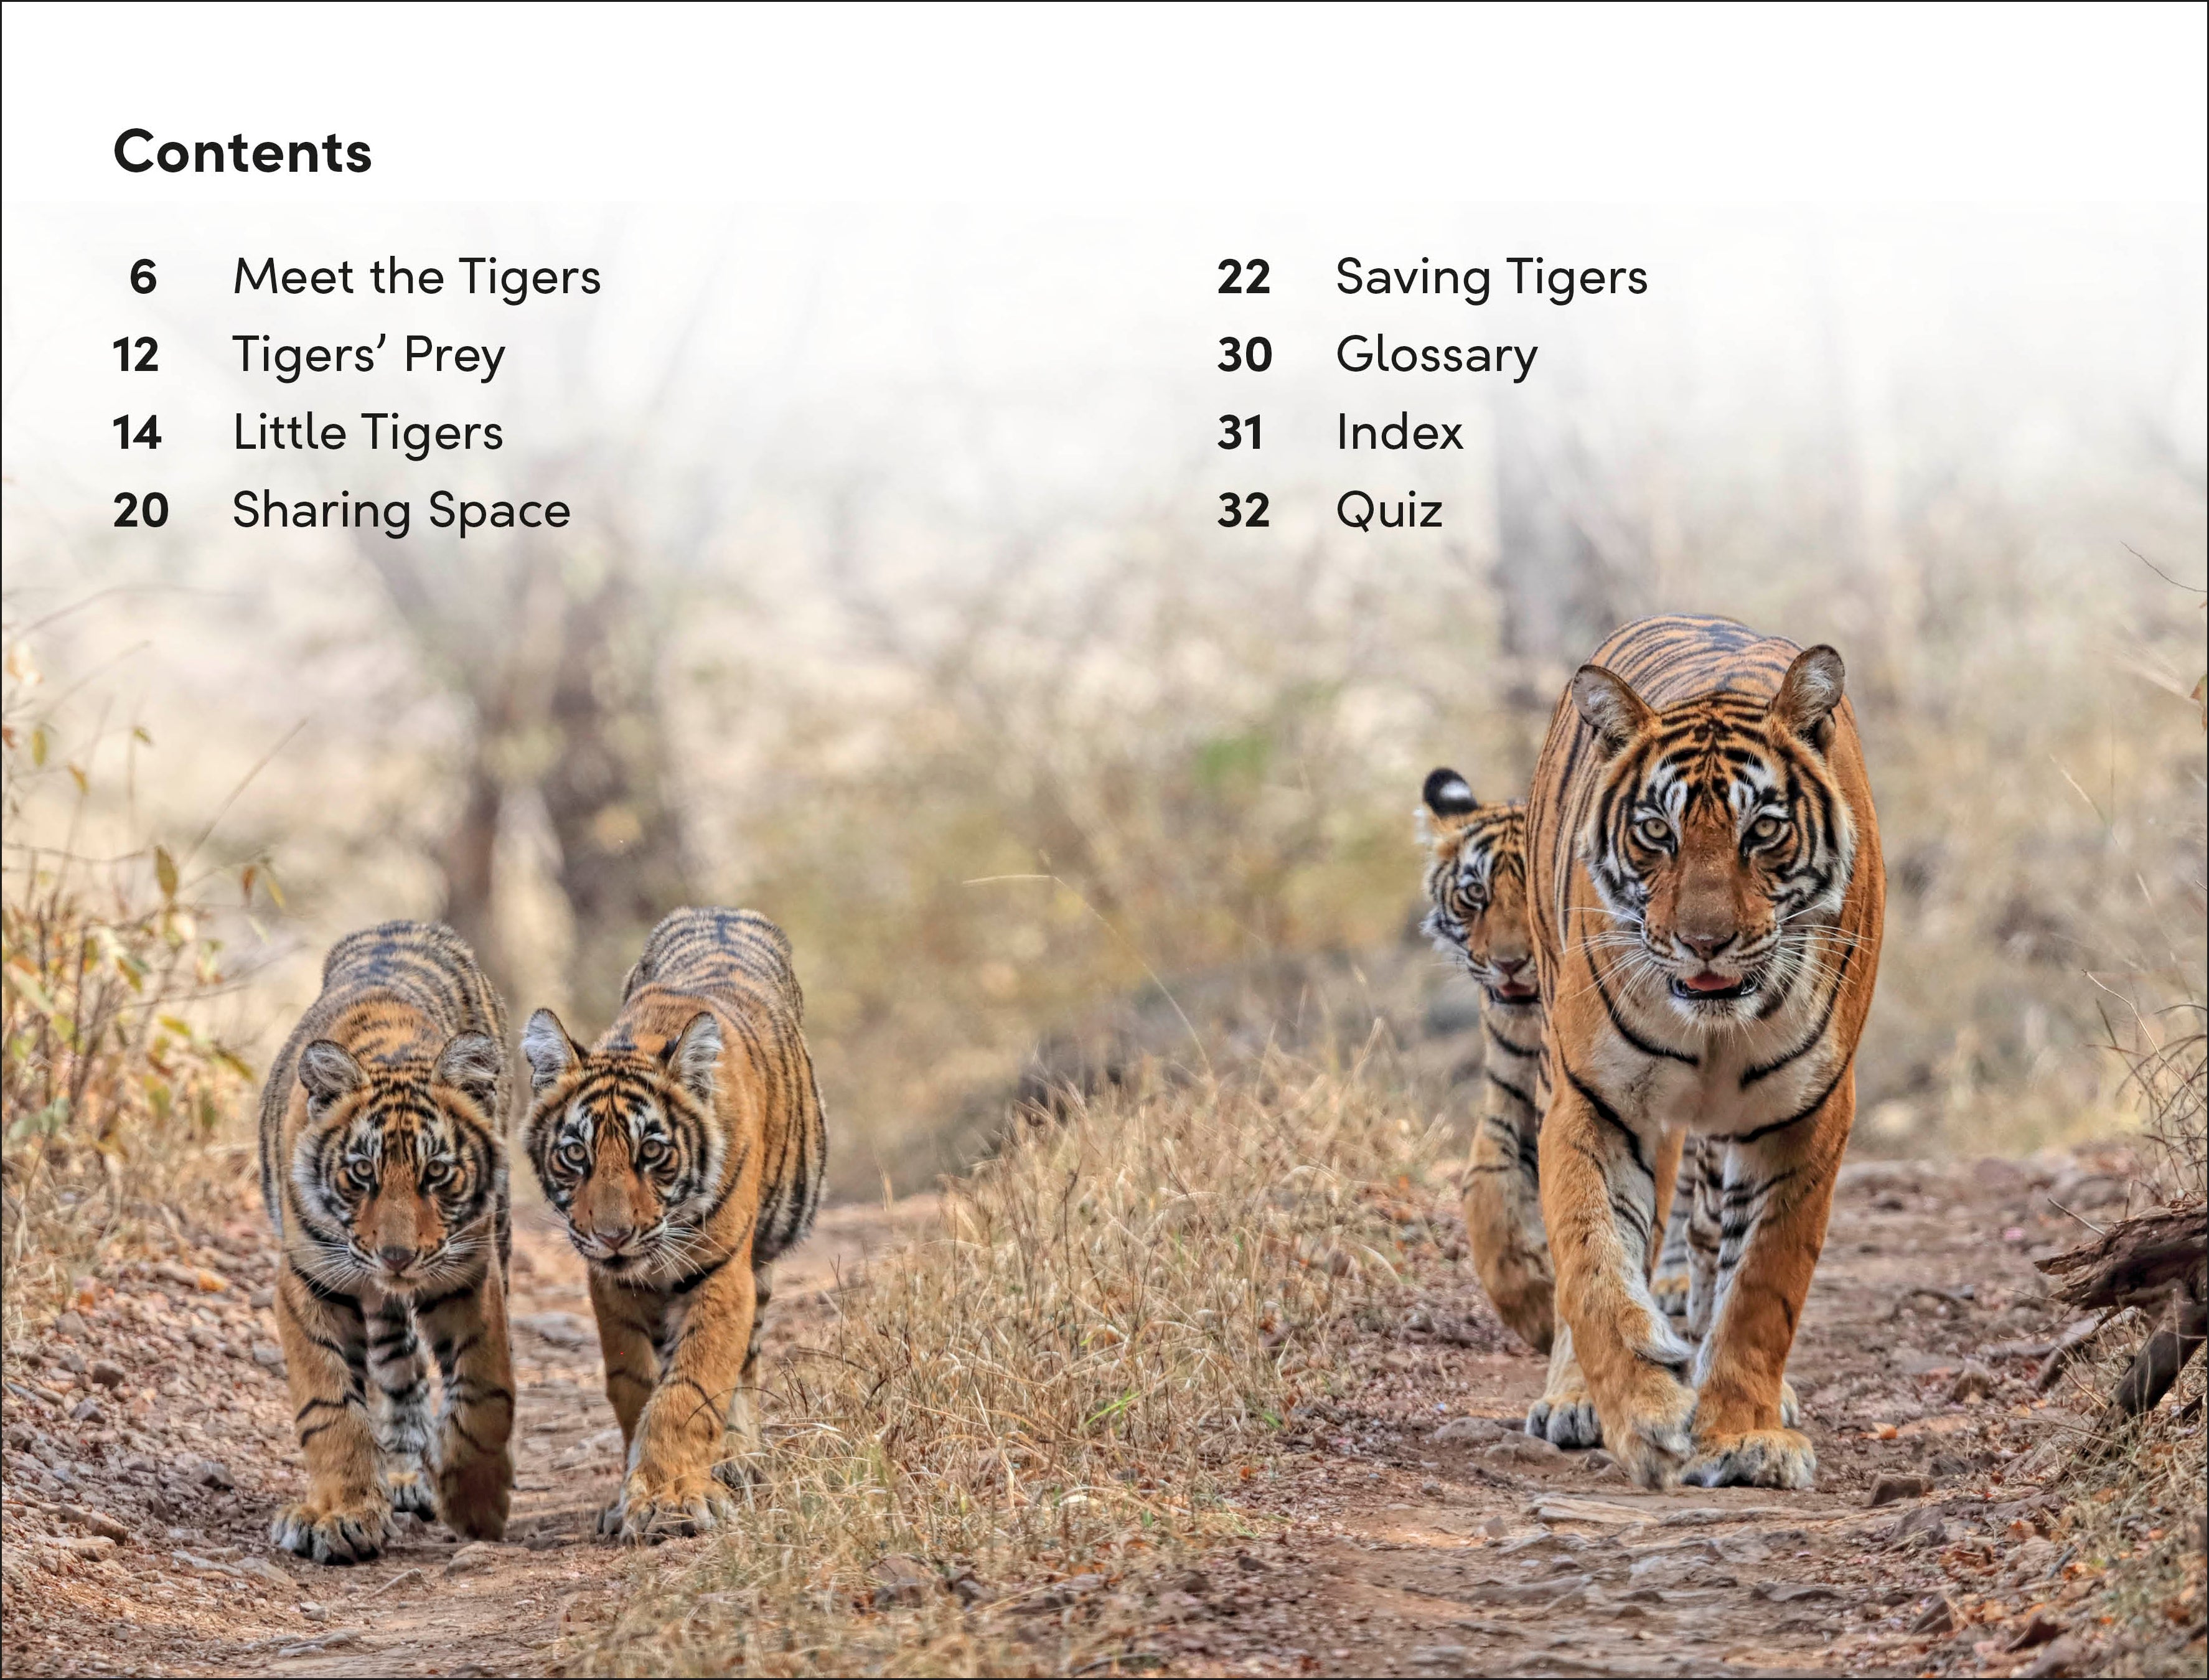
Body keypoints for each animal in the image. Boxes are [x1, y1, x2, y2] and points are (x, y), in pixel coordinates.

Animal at [257, 920, 516, 1563]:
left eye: (437, 1173)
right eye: (361, 1173)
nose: (397, 1257)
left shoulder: (469, 1275)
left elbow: (483, 1389)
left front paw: (476, 1503)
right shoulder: (309, 1281)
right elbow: (331, 1407)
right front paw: (346, 1514)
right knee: (398, 1371)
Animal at [521, 907, 827, 1541]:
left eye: (652, 1152)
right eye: (575, 1155)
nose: (613, 1236)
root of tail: (721, 910)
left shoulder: (721, 1274)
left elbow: (690, 1386)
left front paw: (674, 1498)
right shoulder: (610, 1284)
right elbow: (634, 1385)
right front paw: (632, 1494)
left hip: (758, 1264)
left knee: (746, 1361)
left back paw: (737, 1458)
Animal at [1524, 614, 1883, 1489]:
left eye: (1765, 830)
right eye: (1658, 831)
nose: (1705, 941)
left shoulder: (1806, 1114)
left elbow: (1761, 1285)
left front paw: (1745, 1434)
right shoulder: (1597, 1100)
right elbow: (1593, 1261)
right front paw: (1645, 1415)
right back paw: (1574, 1399)